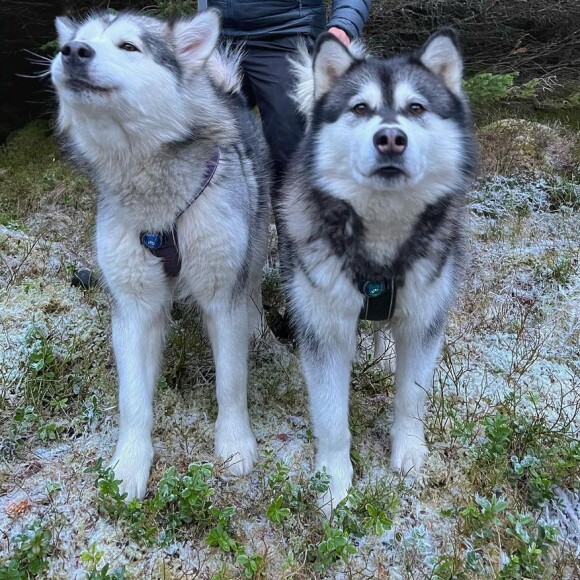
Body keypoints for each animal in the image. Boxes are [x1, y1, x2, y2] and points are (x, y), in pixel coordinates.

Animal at [51, 9, 270, 498]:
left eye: (129, 46)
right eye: (75, 41)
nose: (72, 52)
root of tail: (226, 93)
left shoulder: (221, 297)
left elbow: (231, 382)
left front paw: (234, 443)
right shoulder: (133, 307)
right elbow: (133, 399)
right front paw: (129, 465)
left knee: (253, 281)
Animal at [280, 29, 476, 510]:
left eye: (416, 108)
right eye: (360, 109)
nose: (390, 138)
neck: (383, 236)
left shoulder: (424, 321)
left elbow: (411, 399)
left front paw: (410, 455)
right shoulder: (324, 329)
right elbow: (331, 418)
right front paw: (334, 482)